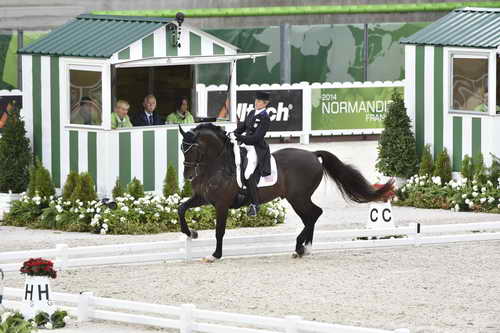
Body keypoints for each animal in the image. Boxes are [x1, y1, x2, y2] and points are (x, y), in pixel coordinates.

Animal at [178, 123, 392, 260]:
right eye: (182, 148)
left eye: (193, 148)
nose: (187, 175)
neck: (218, 164)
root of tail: (313, 154)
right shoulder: (203, 198)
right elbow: (181, 209)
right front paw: (191, 233)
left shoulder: (222, 204)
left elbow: (219, 231)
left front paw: (215, 255)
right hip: (297, 199)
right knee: (311, 217)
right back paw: (304, 248)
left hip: (298, 198)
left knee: (315, 214)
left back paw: (301, 247)